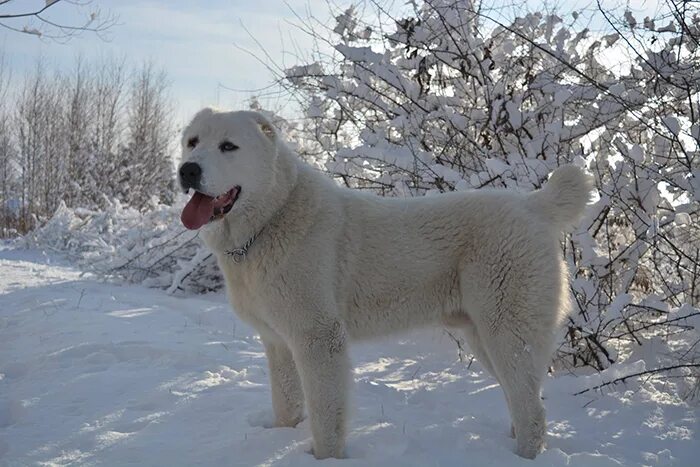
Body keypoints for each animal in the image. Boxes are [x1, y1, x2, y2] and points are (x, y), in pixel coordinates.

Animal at [178, 107, 592, 460]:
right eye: (192, 142)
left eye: (228, 146)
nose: (187, 170)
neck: (271, 218)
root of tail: (533, 205)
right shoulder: (279, 342)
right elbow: (287, 403)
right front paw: (283, 435)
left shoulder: (318, 338)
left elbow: (326, 414)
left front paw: (325, 458)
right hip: (485, 337)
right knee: (523, 402)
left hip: (505, 333)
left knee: (533, 413)